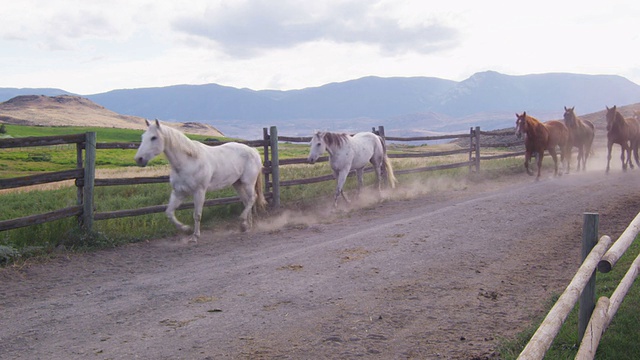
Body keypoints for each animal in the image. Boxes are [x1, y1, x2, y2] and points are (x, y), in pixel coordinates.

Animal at [134, 119, 266, 243]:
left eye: (153, 137)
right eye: (143, 137)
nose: (139, 159)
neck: (188, 162)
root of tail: (253, 150)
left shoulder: (199, 191)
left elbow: (197, 215)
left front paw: (195, 237)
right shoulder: (178, 193)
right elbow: (169, 213)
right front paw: (186, 229)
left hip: (248, 183)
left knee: (252, 198)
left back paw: (243, 222)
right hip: (237, 184)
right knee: (246, 201)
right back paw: (246, 226)